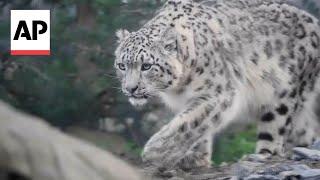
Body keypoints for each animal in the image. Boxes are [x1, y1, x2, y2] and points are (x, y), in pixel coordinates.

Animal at [114, 0, 320, 170]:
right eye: (122, 65)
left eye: (146, 66)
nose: (130, 89)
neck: (178, 89)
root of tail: (314, 21)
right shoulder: (186, 101)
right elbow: (196, 125)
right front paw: (196, 158)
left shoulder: (218, 93)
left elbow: (188, 122)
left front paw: (156, 150)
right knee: (307, 131)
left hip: (283, 95)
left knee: (275, 132)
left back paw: (259, 155)